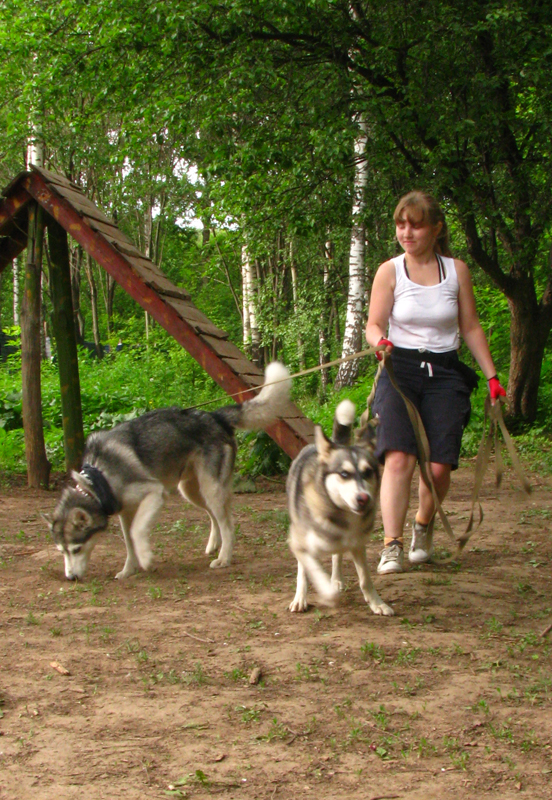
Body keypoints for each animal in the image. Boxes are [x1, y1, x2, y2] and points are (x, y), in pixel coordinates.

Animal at [48, 362, 291, 581]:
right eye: (62, 551)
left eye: (77, 549)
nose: (70, 578)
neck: (98, 479)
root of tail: (214, 416)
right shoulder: (125, 513)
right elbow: (129, 543)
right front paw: (128, 570)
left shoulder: (155, 494)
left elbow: (137, 533)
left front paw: (146, 559)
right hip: (192, 491)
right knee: (215, 517)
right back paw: (214, 545)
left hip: (210, 490)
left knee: (228, 524)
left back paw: (224, 558)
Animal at [287, 399, 393, 615]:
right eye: (344, 474)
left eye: (368, 472)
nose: (363, 498)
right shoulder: (300, 544)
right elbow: (311, 571)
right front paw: (325, 594)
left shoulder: (357, 545)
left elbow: (365, 580)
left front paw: (377, 603)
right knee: (304, 570)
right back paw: (301, 598)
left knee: (337, 556)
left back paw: (336, 579)